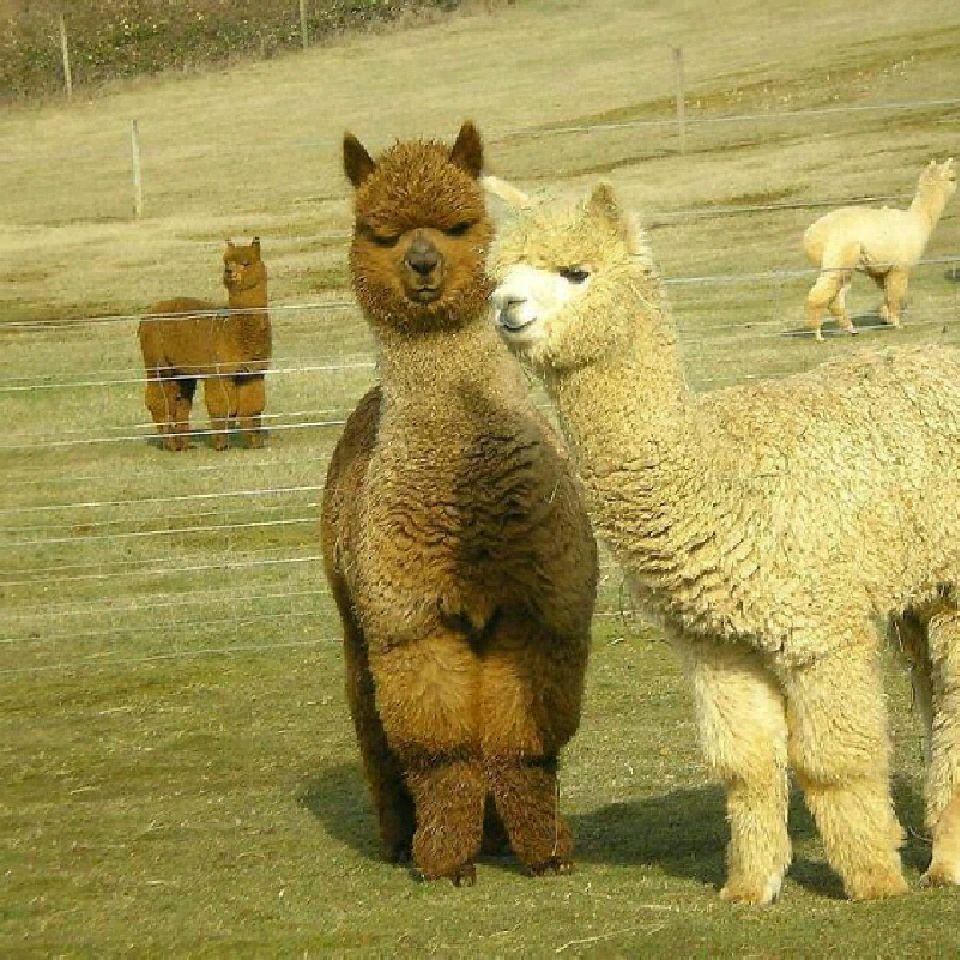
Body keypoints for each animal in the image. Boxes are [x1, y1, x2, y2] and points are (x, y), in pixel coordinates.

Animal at [138, 237, 271, 450]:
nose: (228, 272)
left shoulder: (252, 372)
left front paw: (254, 443)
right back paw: (171, 445)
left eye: (245, 263)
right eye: (226, 262)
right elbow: (221, 407)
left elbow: (252, 407)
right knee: (159, 401)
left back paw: (183, 444)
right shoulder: (218, 371)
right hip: (156, 365)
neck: (233, 332)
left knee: (180, 402)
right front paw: (221, 445)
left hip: (181, 370)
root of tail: (148, 314)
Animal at [320, 123, 598, 886]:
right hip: (357, 620)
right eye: (380, 233)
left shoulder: (539, 607)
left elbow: (523, 744)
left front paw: (544, 848)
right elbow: (440, 751)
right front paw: (445, 858)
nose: (422, 265)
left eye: (460, 224)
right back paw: (399, 838)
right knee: (371, 725)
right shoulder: (412, 621)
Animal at [486, 177, 960, 903]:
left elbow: (833, 762)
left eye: (576, 272)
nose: (505, 306)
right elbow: (747, 767)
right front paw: (750, 886)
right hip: (922, 591)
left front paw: (875, 881)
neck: (724, 479)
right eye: (498, 273)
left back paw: (945, 865)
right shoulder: (716, 645)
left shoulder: (821, 630)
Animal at [804, 158, 956, 341]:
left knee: (836, 297)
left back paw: (850, 329)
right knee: (820, 293)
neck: (918, 221)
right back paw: (818, 333)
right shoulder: (900, 267)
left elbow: (886, 293)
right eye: (953, 177)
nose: (957, 185)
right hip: (837, 257)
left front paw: (885, 318)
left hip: (844, 264)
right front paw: (897, 323)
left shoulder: (879, 269)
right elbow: (895, 294)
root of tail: (809, 235)